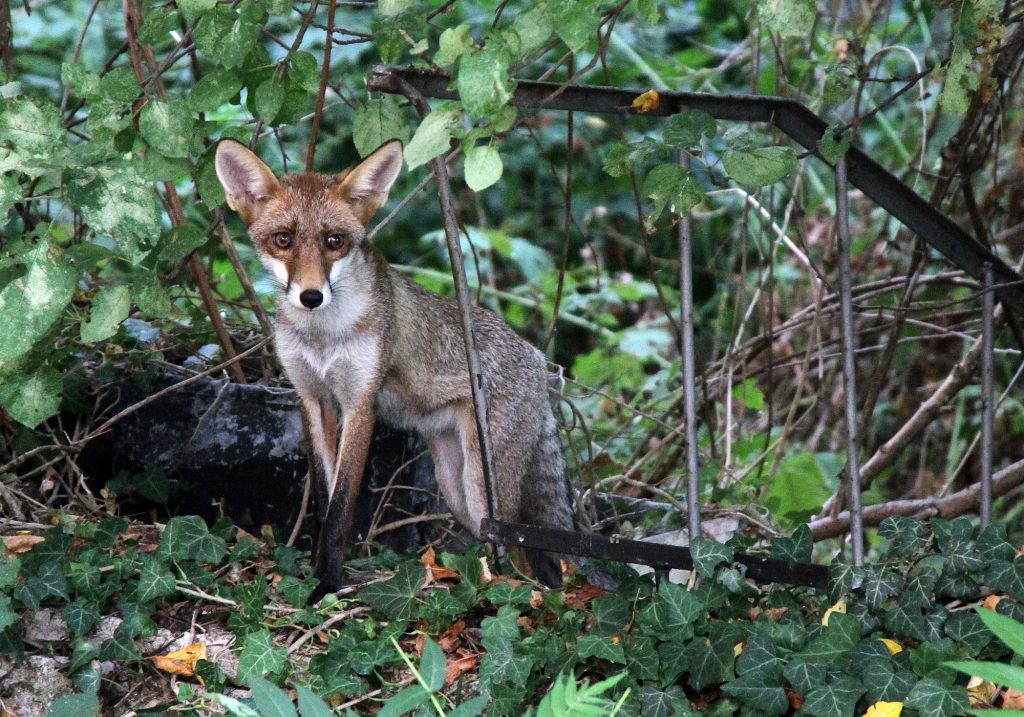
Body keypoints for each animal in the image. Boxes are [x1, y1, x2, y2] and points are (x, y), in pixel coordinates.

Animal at [214, 140, 577, 594]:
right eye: (284, 240)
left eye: (334, 241)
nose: (311, 297)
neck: (323, 337)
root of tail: (537, 359)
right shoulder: (314, 399)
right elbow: (323, 504)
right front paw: (317, 577)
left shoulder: (360, 403)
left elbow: (340, 513)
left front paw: (327, 589)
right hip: (457, 491)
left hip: (484, 491)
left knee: (523, 558)